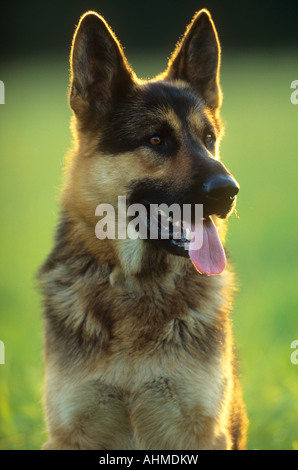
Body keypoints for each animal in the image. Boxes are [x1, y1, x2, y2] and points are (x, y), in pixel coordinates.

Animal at [40, 9, 249, 450]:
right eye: (156, 140)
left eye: (208, 138)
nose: (229, 191)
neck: (137, 287)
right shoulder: (69, 434)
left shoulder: (203, 432)